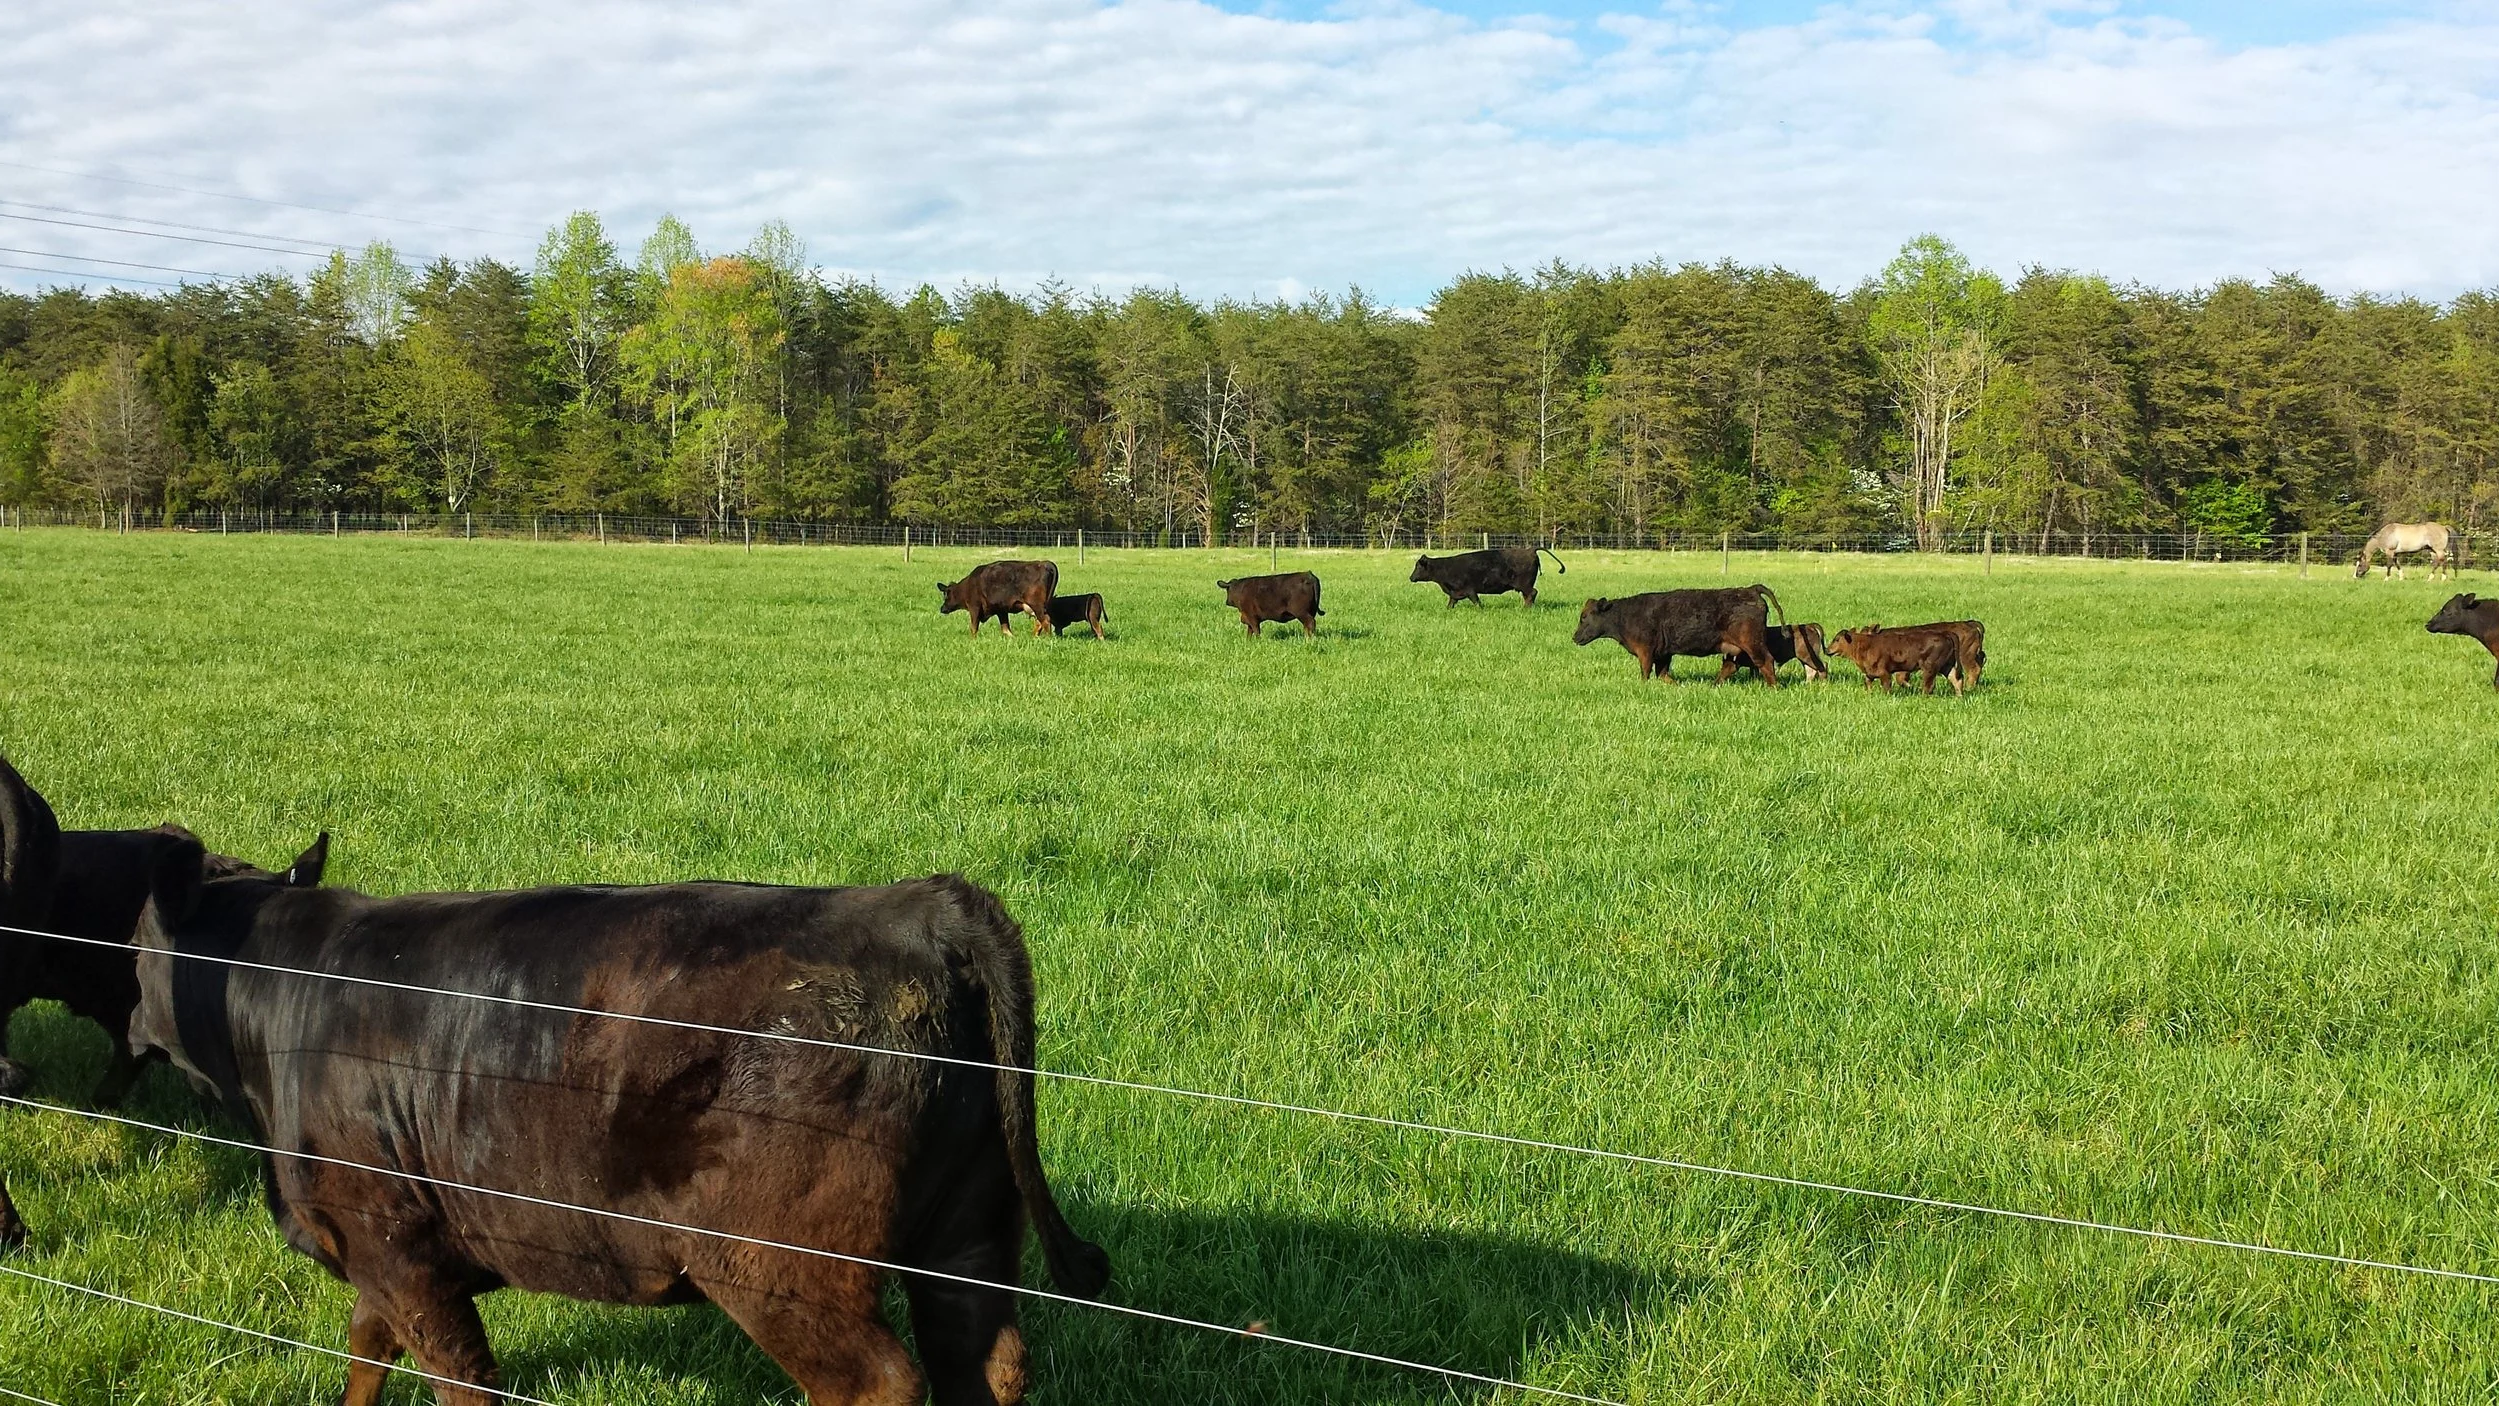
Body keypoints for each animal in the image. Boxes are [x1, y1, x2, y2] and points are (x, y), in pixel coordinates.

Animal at [128, 850, 1110, 1406]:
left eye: (134, 946)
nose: (134, 1021)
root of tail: (921, 905)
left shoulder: (394, 1245)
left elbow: (458, 1381)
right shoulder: (391, 1247)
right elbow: (367, 1353)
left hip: (784, 1270)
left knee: (879, 1385)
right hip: (968, 1231)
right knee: (984, 1364)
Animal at [1408, 547, 1566, 608]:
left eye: (1418, 567)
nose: (1411, 578)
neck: (1445, 567)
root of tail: (1530, 549)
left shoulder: (1470, 590)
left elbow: (1477, 602)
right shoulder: (1455, 593)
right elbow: (1451, 603)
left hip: (1524, 584)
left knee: (1532, 593)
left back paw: (1525, 608)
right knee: (1529, 595)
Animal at [1572, 585, 1784, 684]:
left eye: (1584, 617)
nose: (1574, 637)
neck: (1625, 616)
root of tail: (1750, 589)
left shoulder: (1645, 651)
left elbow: (1646, 673)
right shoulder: (1663, 653)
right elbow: (1663, 674)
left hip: (1752, 643)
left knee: (1765, 661)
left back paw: (1774, 687)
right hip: (1735, 648)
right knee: (1730, 667)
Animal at [1827, 624, 1967, 695]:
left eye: (1837, 639)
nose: (1827, 650)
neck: (1866, 645)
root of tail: (1945, 634)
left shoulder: (1884, 672)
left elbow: (1887, 687)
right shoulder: (1870, 672)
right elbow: (1867, 682)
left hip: (1930, 667)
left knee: (1929, 685)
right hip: (1946, 665)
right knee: (1956, 679)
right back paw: (1958, 697)